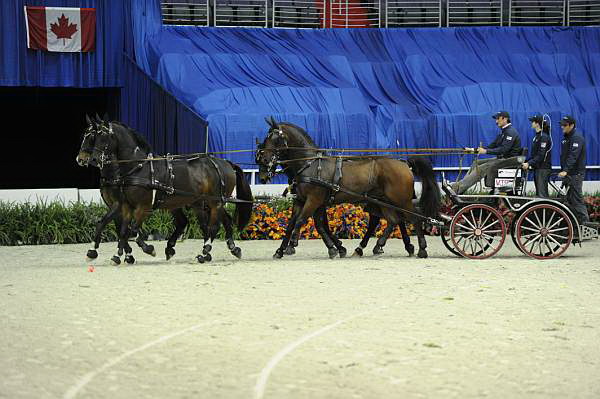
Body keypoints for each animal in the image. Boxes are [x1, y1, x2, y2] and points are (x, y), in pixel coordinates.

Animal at [76, 117, 252, 264]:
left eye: (102, 137)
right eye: (89, 136)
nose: (87, 159)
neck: (136, 168)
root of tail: (224, 162)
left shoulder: (141, 207)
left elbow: (132, 231)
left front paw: (147, 249)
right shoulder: (125, 206)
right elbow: (122, 230)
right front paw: (118, 256)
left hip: (214, 202)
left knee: (212, 227)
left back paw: (205, 253)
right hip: (199, 202)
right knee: (212, 223)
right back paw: (228, 248)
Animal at [254, 117, 440, 258]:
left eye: (274, 138)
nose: (264, 162)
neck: (310, 164)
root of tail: (404, 163)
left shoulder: (314, 200)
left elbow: (303, 221)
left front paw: (292, 245)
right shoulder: (301, 200)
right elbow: (299, 223)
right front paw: (282, 250)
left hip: (400, 200)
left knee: (414, 218)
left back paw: (420, 248)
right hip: (383, 201)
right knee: (394, 220)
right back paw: (377, 246)